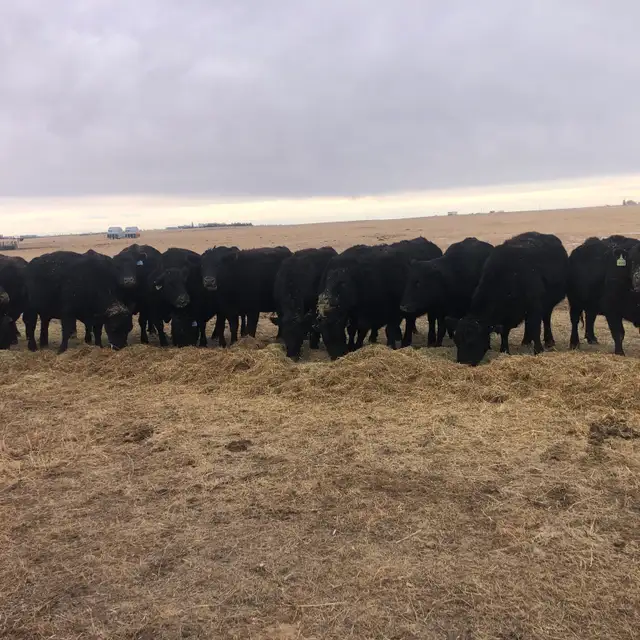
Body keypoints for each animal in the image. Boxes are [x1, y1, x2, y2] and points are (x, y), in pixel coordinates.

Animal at [451, 231, 568, 366]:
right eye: (456, 341)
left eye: (472, 341)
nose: (463, 362)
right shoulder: (506, 315)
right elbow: (505, 332)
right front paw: (504, 350)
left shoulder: (535, 307)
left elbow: (535, 328)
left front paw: (538, 350)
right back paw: (526, 341)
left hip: (548, 304)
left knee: (546, 319)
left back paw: (549, 341)